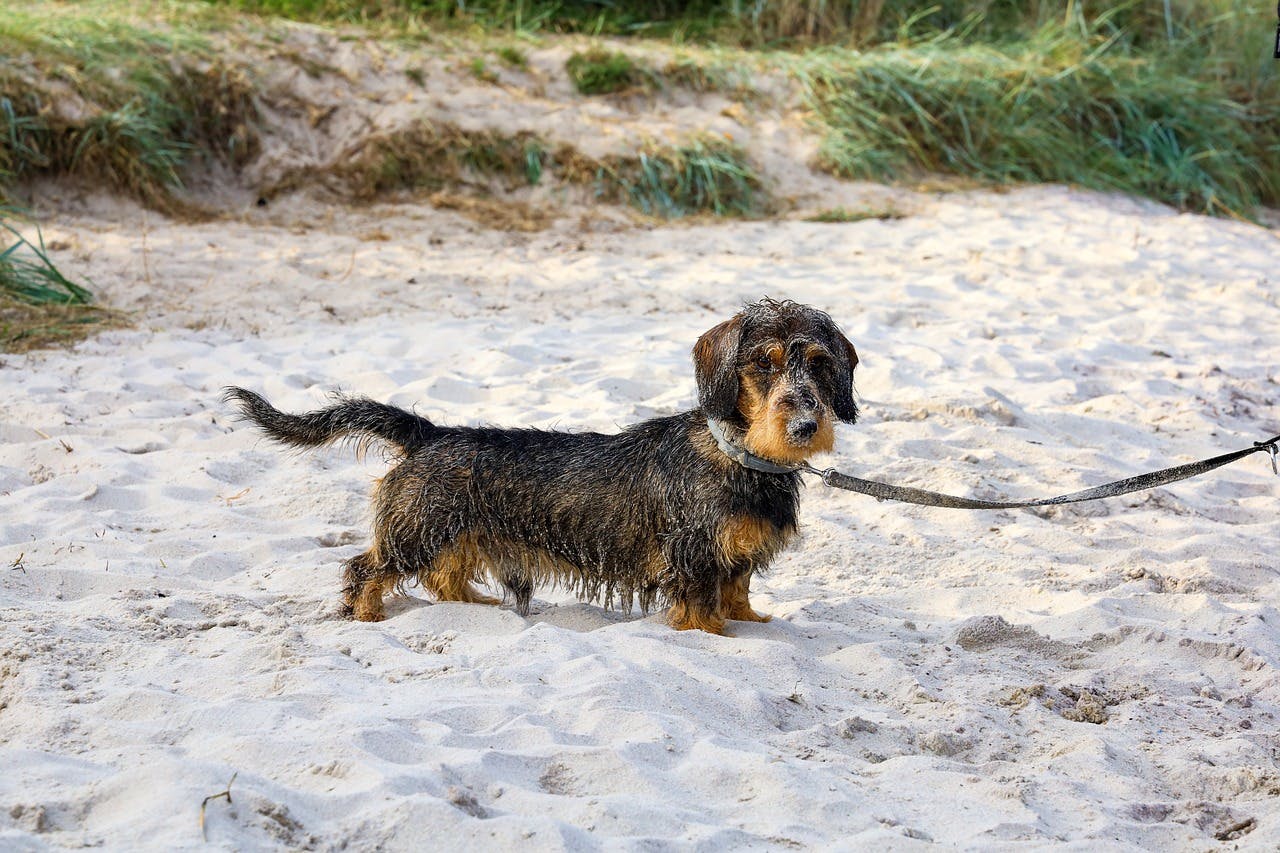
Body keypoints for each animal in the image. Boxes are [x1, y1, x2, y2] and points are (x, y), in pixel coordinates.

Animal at [227, 295, 860, 627]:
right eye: (763, 364)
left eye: (820, 363)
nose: (805, 428)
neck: (743, 457)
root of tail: (429, 433)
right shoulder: (695, 560)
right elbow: (704, 611)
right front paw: (720, 636)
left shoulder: (734, 559)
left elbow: (738, 594)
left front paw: (750, 623)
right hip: (417, 530)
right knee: (366, 568)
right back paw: (366, 615)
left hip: (451, 533)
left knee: (445, 577)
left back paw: (474, 603)